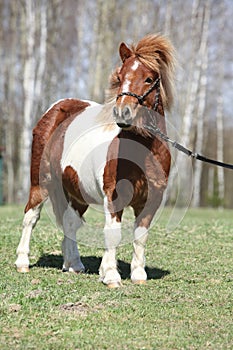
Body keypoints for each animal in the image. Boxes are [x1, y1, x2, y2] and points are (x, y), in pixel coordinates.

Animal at [15, 34, 176, 288]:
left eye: (149, 79)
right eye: (120, 77)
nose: (123, 113)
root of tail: (54, 109)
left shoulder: (152, 200)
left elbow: (141, 235)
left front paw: (138, 275)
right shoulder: (114, 196)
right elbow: (113, 232)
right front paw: (110, 275)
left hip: (77, 192)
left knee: (70, 222)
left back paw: (74, 264)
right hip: (40, 183)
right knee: (31, 217)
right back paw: (22, 262)